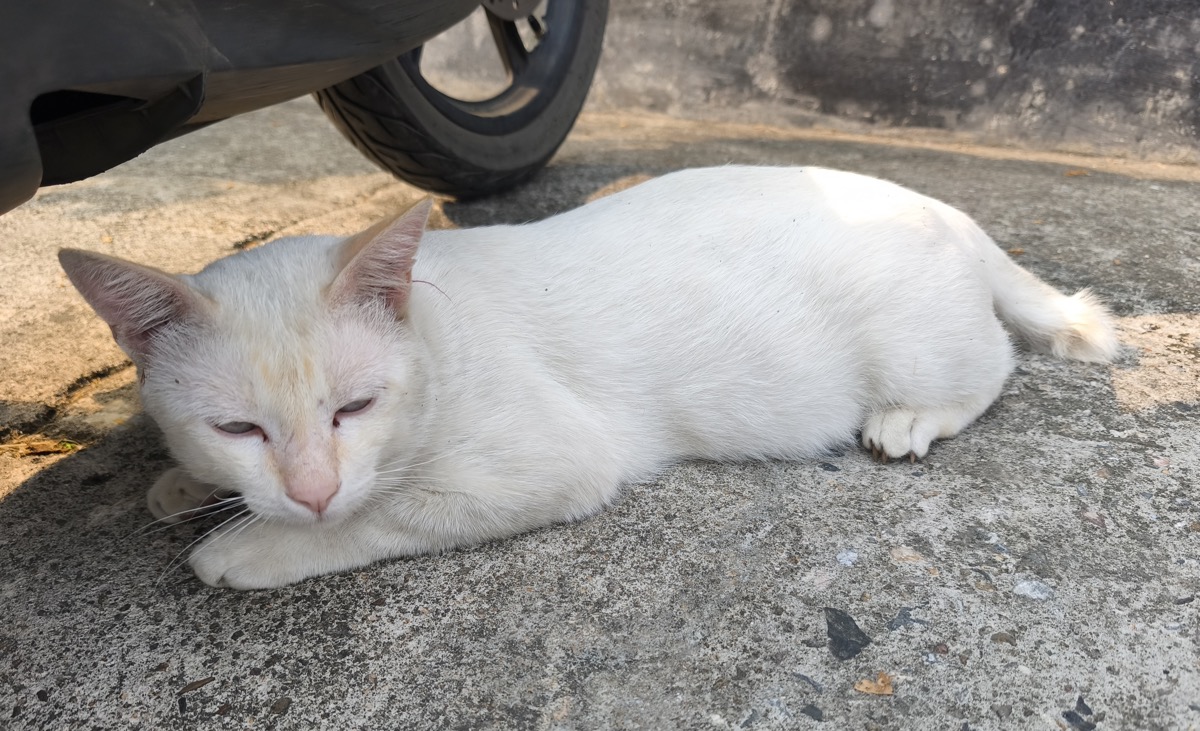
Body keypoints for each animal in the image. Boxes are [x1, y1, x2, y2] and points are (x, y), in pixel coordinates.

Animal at [59, 166, 1120, 589]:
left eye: (355, 406)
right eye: (237, 429)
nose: (310, 488)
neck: (437, 333)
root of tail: (942, 204)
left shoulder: (549, 463)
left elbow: (381, 513)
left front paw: (253, 545)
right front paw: (186, 486)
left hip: (919, 343)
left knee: (991, 364)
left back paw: (912, 417)